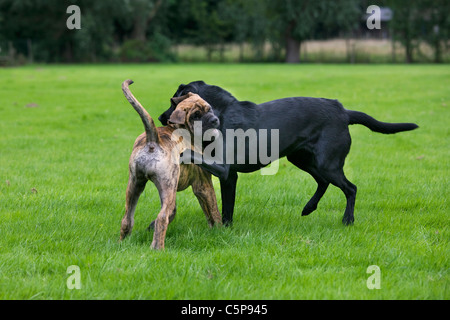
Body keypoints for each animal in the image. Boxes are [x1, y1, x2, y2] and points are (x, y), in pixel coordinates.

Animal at [159, 81, 418, 226]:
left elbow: (225, 202)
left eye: (174, 103)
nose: (161, 117)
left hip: (327, 162)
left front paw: (226, 227)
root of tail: (343, 111)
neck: (220, 114)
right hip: (302, 158)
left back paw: (348, 220)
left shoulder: (225, 171)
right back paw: (308, 208)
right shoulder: (228, 175)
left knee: (350, 188)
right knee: (323, 183)